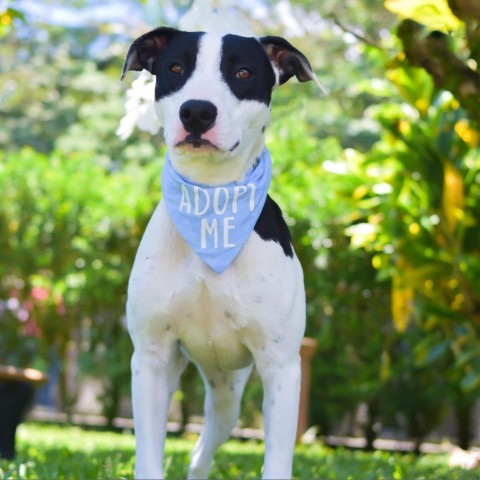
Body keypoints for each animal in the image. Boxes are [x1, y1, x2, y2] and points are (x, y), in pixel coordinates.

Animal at [120, 27, 322, 480]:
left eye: (243, 72)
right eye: (176, 68)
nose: (197, 112)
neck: (211, 204)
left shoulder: (282, 368)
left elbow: (277, 462)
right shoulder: (151, 360)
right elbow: (148, 460)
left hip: (232, 389)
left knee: (203, 449)